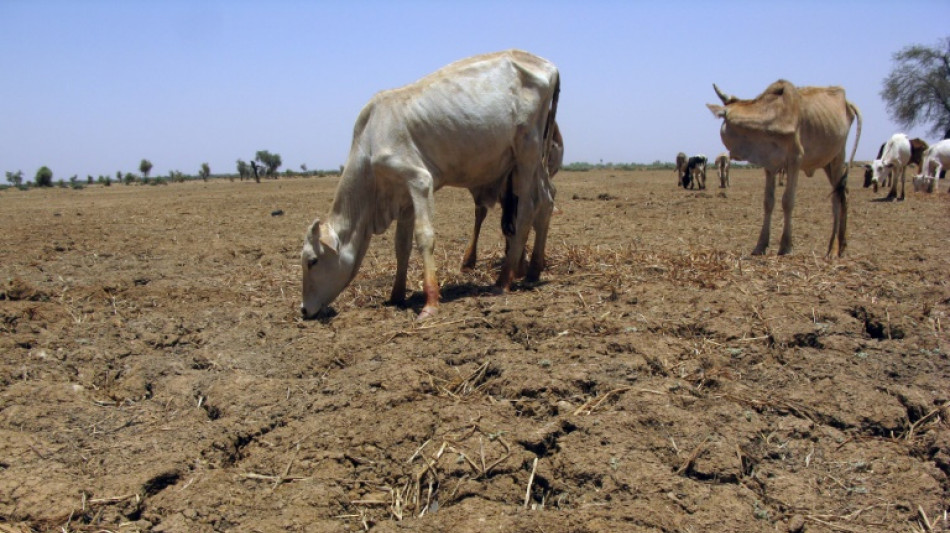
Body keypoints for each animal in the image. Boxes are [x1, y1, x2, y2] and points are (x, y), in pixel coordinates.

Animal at [708, 77, 864, 258]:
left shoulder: (795, 160)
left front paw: (785, 246)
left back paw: (834, 249)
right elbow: (768, 202)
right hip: (827, 163)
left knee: (838, 196)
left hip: (838, 156)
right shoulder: (769, 164)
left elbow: (787, 201)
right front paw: (761, 245)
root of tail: (847, 102)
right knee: (842, 194)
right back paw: (841, 244)